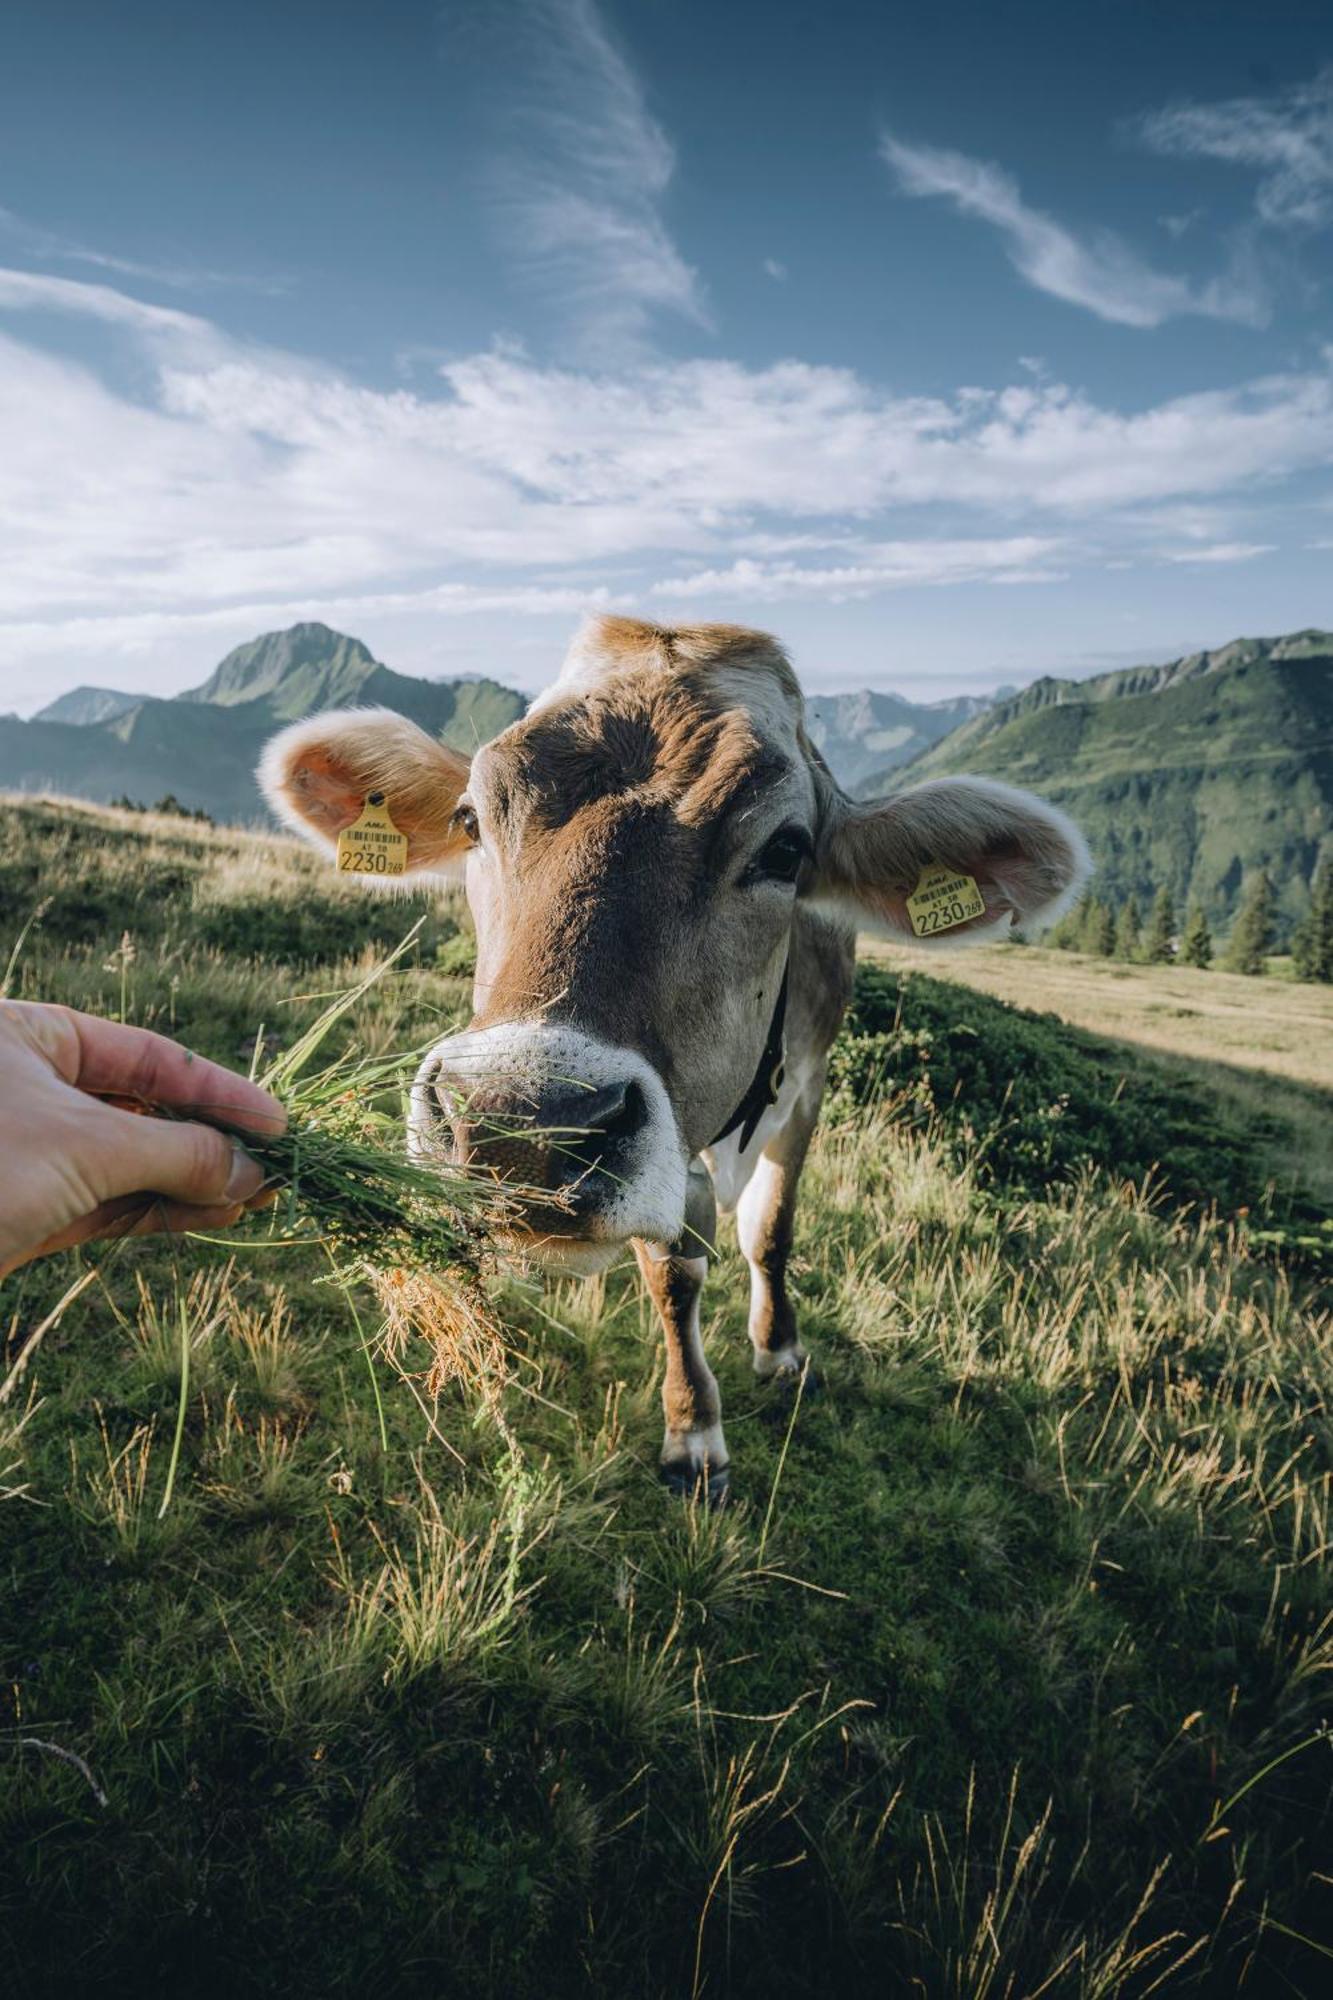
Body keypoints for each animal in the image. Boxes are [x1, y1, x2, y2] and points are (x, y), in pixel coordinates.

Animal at [256, 616, 1080, 1504]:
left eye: (786, 849)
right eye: (471, 820)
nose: (520, 1131)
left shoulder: (809, 1084)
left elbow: (772, 1229)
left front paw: (780, 1349)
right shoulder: (670, 1141)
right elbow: (674, 1273)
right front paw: (693, 1431)